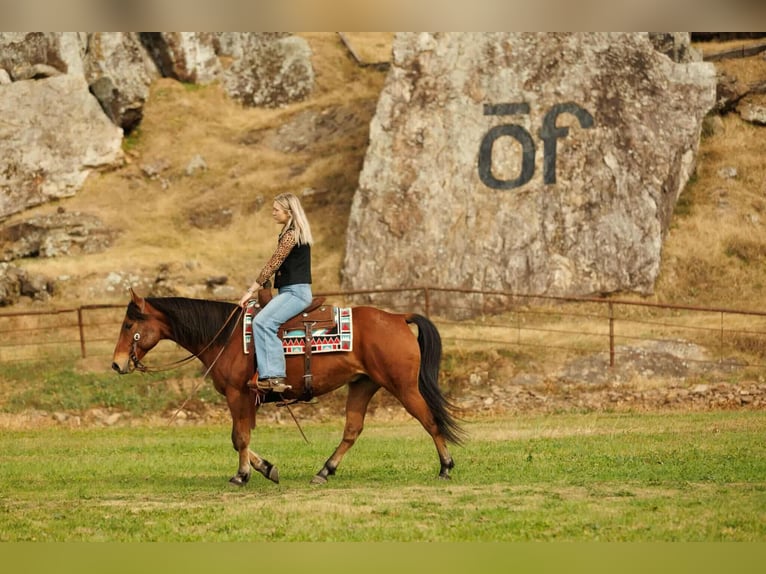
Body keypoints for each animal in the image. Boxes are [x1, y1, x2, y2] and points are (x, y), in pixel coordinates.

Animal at [111, 288, 464, 486]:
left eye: (129, 325)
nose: (116, 363)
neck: (226, 337)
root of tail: (397, 317)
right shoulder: (246, 399)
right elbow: (240, 438)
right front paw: (266, 468)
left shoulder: (238, 394)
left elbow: (239, 437)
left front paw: (242, 475)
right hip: (362, 385)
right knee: (352, 430)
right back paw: (324, 471)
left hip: (403, 387)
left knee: (430, 420)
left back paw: (446, 467)